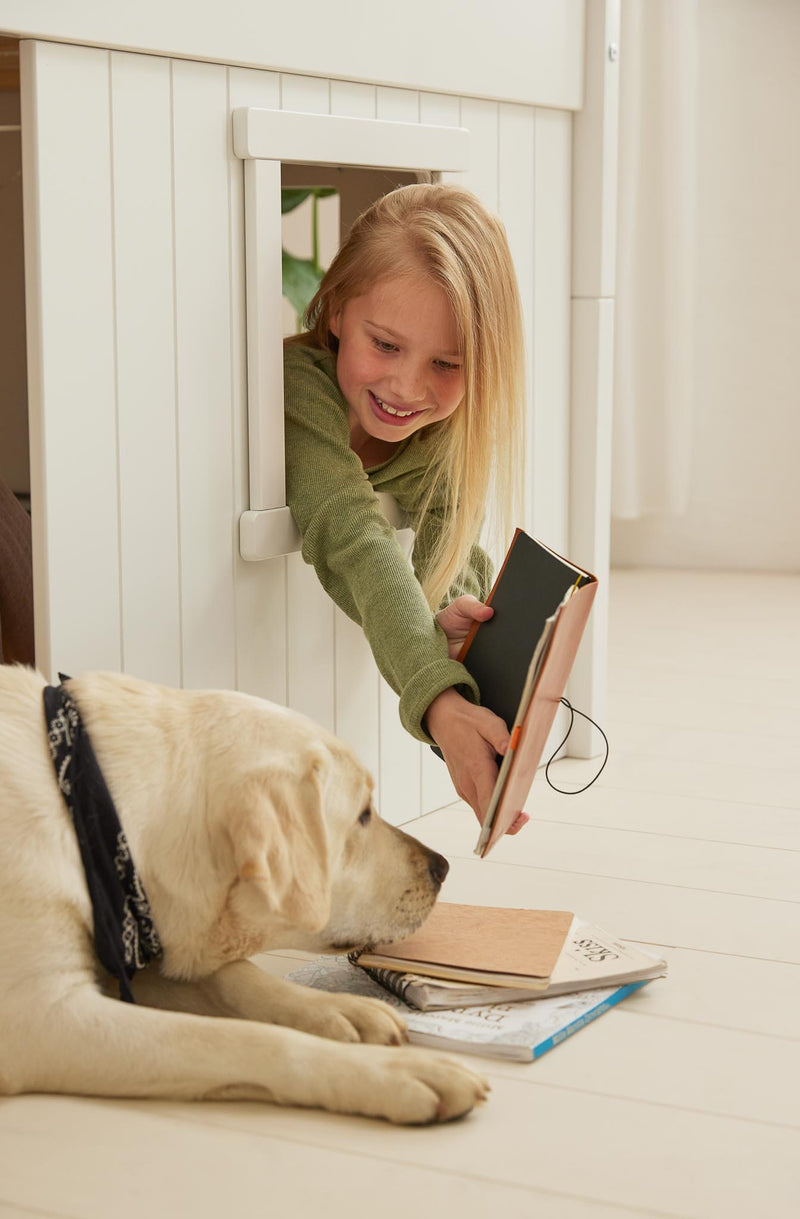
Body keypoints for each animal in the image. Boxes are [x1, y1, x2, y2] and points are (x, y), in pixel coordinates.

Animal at [0, 668, 487, 1121]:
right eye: (363, 815)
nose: (442, 868)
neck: (88, 814)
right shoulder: (46, 1018)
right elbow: (236, 1038)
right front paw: (400, 1071)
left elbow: (236, 978)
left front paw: (341, 1009)